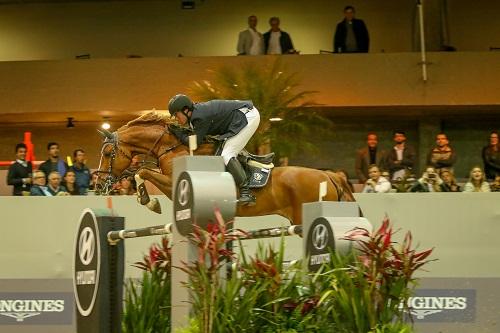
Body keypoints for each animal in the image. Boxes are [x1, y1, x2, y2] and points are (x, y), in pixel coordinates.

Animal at [96, 112, 356, 226]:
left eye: (107, 154)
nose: (98, 186)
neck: (173, 148)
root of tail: (330, 175)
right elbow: (142, 172)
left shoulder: (173, 184)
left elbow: (143, 173)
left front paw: (150, 202)